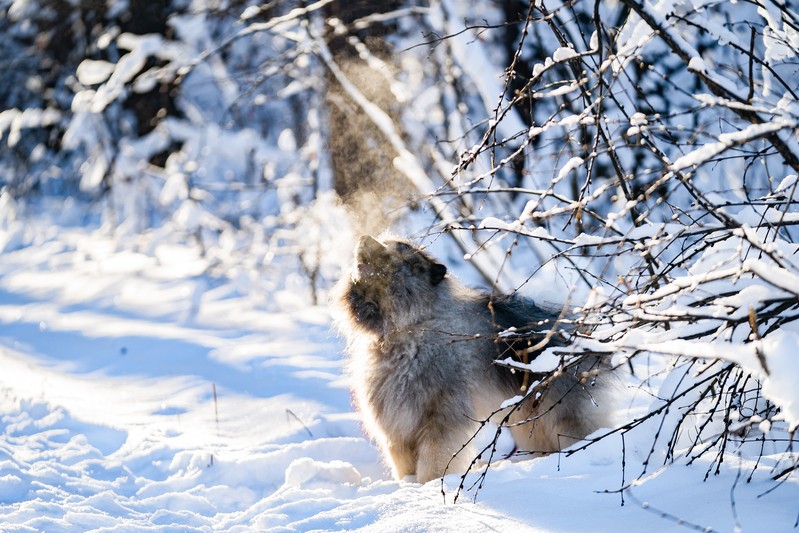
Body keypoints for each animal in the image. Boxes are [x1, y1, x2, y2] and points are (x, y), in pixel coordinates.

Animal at [332, 235, 612, 480]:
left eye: (396, 248)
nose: (364, 237)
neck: (407, 329)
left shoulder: (441, 418)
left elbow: (435, 459)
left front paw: (429, 484)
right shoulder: (397, 427)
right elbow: (404, 464)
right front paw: (409, 486)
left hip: (559, 414)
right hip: (528, 419)